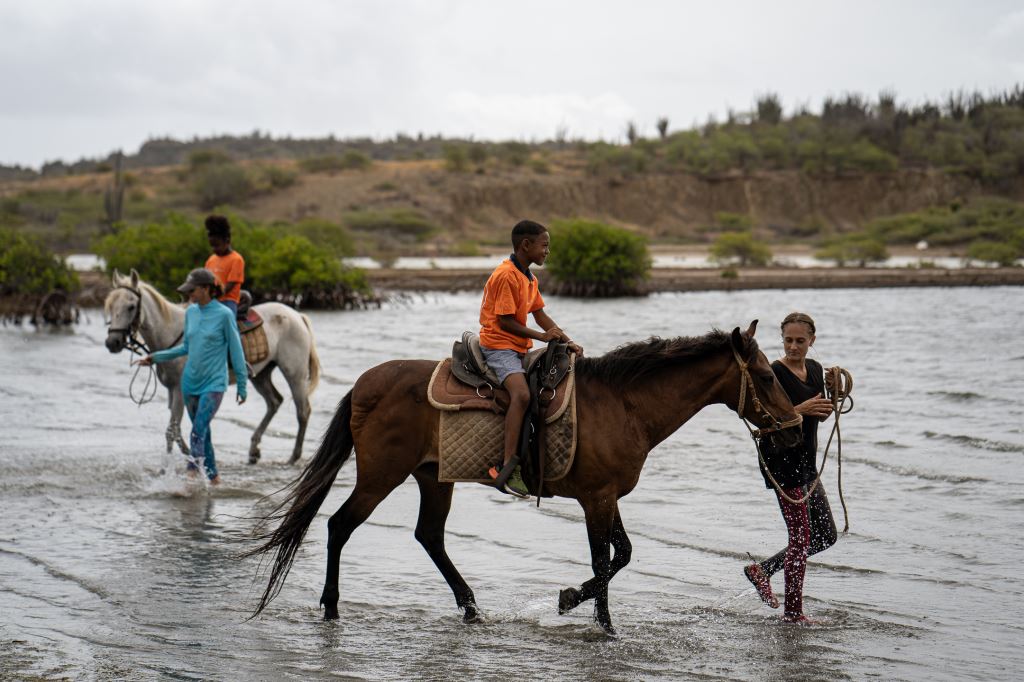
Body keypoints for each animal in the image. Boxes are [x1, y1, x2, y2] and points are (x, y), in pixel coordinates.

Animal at [103, 268, 319, 464]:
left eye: (131, 306)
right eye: (111, 305)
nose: (112, 342)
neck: (172, 331)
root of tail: (297, 315)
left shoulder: (180, 390)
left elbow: (173, 430)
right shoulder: (173, 391)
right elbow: (176, 431)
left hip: (295, 373)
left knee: (303, 411)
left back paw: (293, 457)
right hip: (261, 374)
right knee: (274, 402)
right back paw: (254, 450)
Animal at [245, 321, 798, 630]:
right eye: (765, 376)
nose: (792, 425)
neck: (624, 404)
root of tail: (365, 384)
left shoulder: (608, 497)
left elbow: (621, 555)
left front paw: (572, 600)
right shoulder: (596, 499)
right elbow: (604, 559)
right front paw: (601, 623)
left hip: (433, 477)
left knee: (429, 536)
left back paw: (471, 607)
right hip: (382, 475)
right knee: (340, 525)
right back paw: (332, 607)